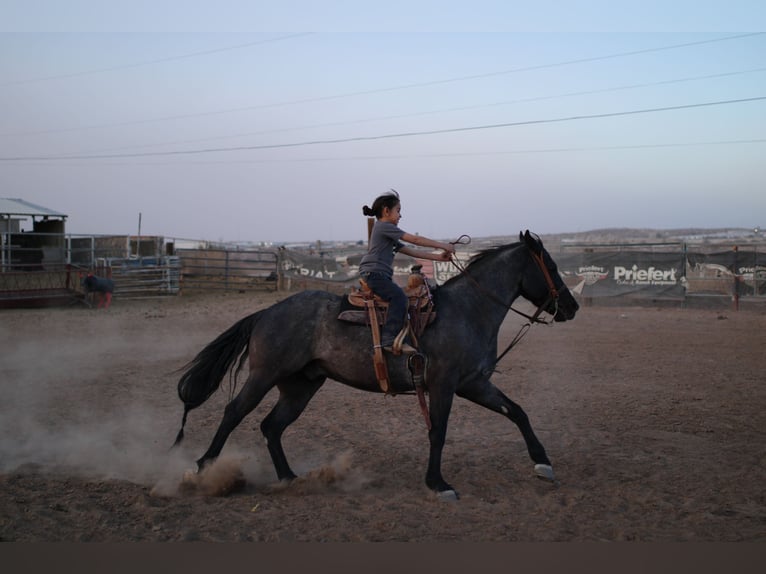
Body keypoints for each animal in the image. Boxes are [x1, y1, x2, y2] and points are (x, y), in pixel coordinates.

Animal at [176, 230, 584, 500]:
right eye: (549, 265)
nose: (571, 306)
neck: (468, 310)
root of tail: (266, 313)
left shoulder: (473, 383)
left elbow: (517, 412)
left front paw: (543, 464)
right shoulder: (443, 384)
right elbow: (438, 432)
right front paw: (438, 484)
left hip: (300, 386)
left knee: (271, 426)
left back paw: (290, 477)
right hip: (264, 376)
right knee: (234, 413)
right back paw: (202, 470)